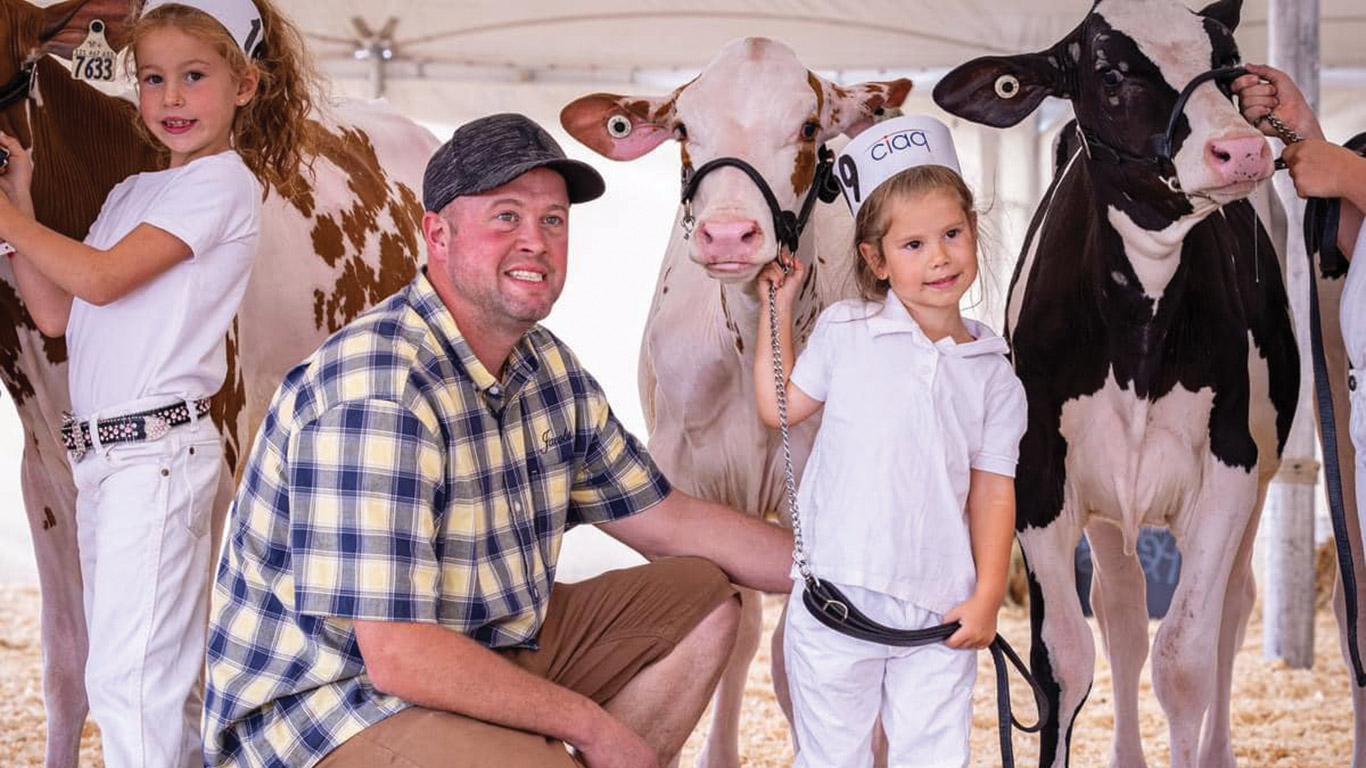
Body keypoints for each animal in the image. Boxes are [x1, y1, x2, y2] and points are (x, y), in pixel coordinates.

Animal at [934, 1, 1294, 765]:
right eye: (1109, 73)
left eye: (1228, 61)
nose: (1243, 150)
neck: (1139, 330)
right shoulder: (1038, 477)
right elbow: (1064, 664)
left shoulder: (1231, 469)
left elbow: (1185, 660)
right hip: (1105, 504)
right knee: (1122, 612)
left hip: (1264, 469)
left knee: (1232, 607)